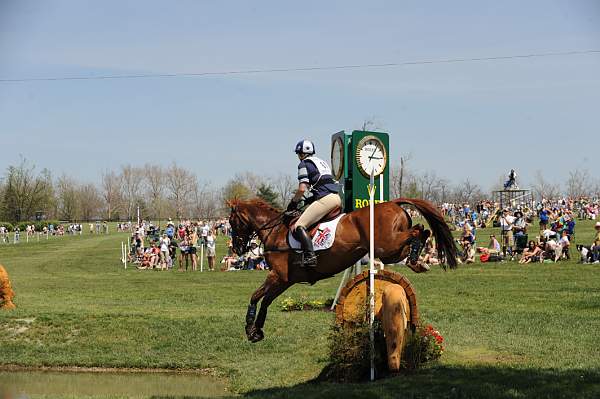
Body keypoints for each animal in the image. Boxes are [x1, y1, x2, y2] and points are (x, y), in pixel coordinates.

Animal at [227, 198, 458, 342]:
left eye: (231, 222)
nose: (238, 248)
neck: (275, 232)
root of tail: (394, 203)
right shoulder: (285, 280)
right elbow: (265, 301)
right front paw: (256, 331)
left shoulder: (277, 276)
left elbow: (256, 296)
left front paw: (250, 328)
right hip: (391, 252)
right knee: (421, 232)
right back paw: (417, 261)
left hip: (387, 245)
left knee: (418, 230)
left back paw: (417, 258)